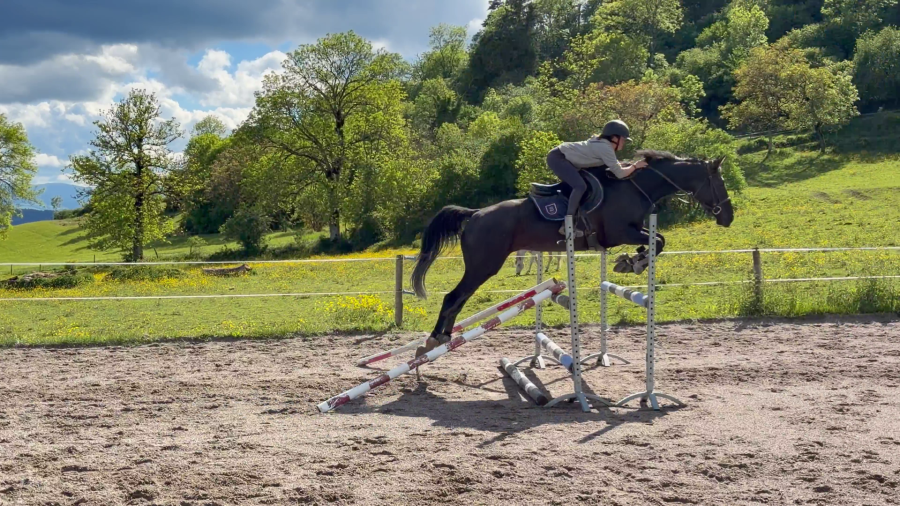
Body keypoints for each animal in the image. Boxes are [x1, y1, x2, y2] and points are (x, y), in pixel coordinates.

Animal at [411, 150, 735, 352]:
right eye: (719, 182)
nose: (728, 217)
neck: (634, 186)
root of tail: (475, 214)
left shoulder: (631, 231)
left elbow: (657, 241)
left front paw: (632, 260)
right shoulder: (620, 232)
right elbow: (659, 241)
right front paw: (633, 262)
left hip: (482, 266)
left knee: (457, 298)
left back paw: (442, 337)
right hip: (483, 265)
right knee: (453, 297)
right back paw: (435, 339)